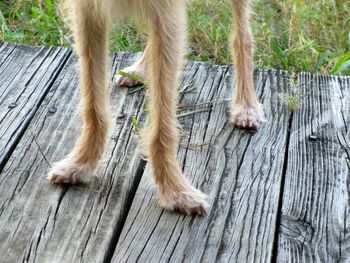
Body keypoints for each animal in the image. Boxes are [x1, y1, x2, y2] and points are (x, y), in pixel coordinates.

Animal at [47, 0, 266, 216]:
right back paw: (140, 69)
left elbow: (162, 121)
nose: (81, 161)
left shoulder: (168, 16)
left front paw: (174, 189)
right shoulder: (87, 12)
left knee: (243, 36)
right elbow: (93, 105)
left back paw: (246, 106)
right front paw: (81, 162)